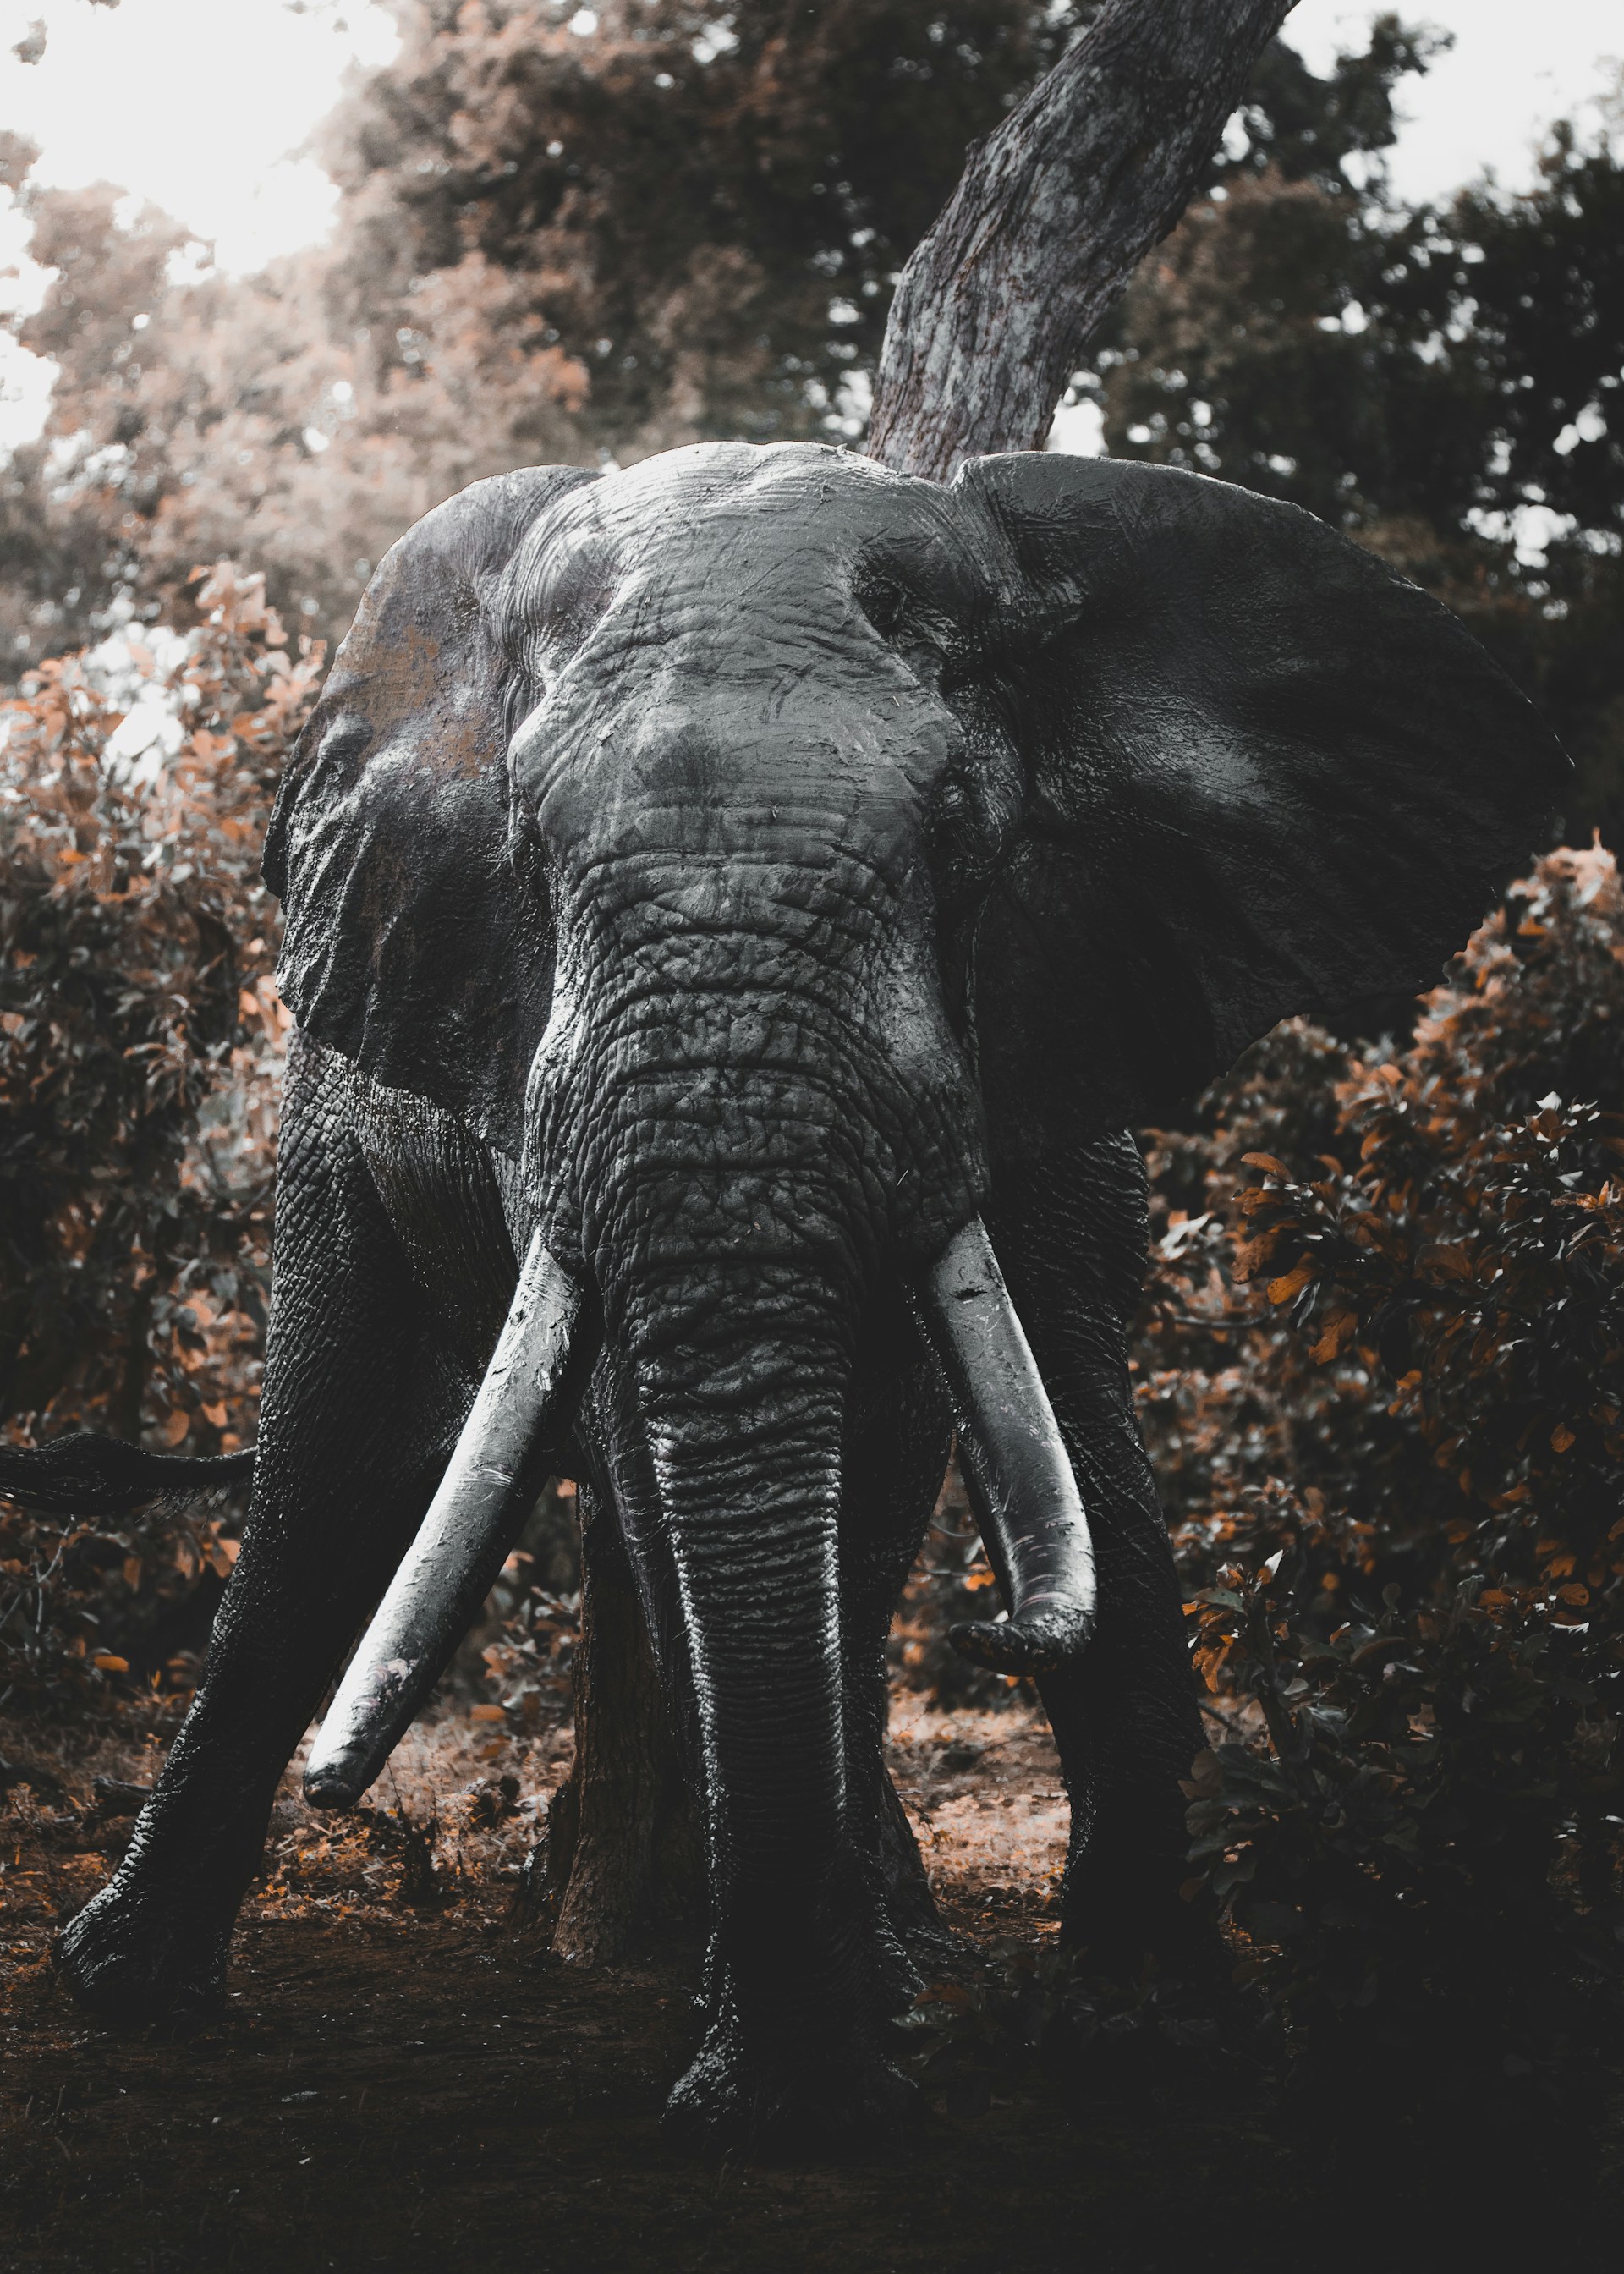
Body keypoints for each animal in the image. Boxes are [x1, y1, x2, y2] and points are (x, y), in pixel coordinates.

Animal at [27, 441, 1563, 2151]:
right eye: (533, 855)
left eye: (959, 834)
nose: (1002, 1629)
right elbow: (648, 1451)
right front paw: (791, 2080)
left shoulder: (1061, 1000)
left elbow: (1086, 1426)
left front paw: (1153, 2040)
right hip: (331, 1122)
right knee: (335, 1489)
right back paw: (128, 1988)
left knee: (863, 1503)